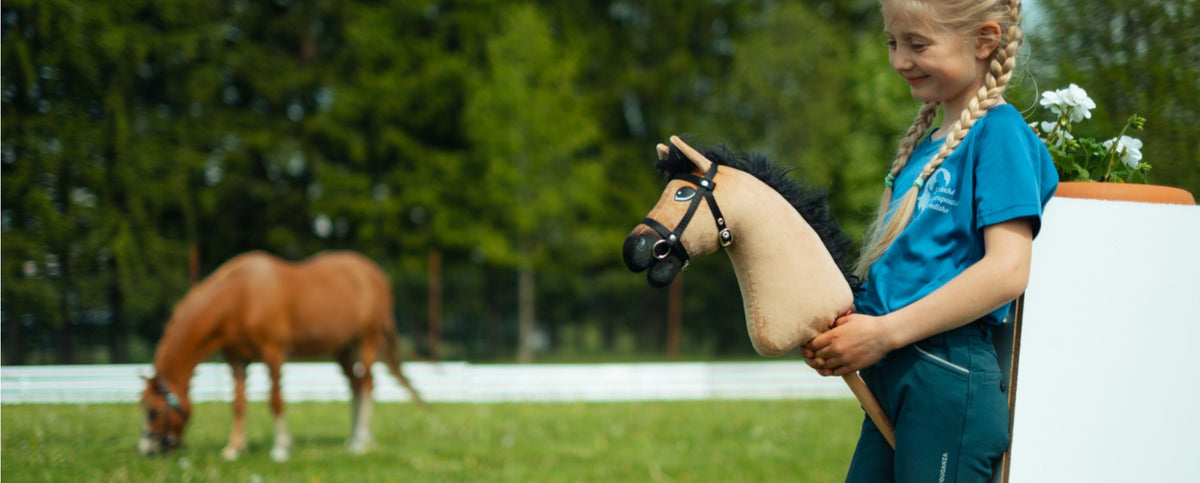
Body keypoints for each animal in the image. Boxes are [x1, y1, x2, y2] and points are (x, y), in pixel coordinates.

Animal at [137, 250, 424, 461]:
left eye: (153, 411)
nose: (146, 450)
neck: (239, 298)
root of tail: (374, 273)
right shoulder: (236, 360)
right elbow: (238, 404)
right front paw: (234, 449)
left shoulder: (273, 354)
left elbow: (275, 400)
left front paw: (280, 448)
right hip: (342, 347)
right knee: (355, 386)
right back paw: (352, 439)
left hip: (367, 338)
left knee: (366, 385)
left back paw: (361, 442)